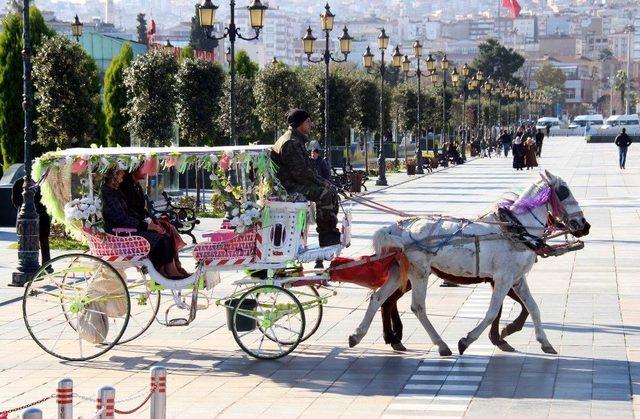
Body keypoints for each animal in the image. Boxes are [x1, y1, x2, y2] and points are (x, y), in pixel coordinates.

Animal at [350, 171, 592, 358]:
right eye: (564, 191)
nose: (584, 224)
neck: (516, 229)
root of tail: (399, 227)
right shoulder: (503, 279)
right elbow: (493, 311)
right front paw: (467, 341)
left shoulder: (517, 278)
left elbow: (532, 307)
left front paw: (545, 342)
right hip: (420, 272)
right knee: (416, 306)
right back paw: (440, 345)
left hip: (398, 272)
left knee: (378, 298)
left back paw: (357, 335)